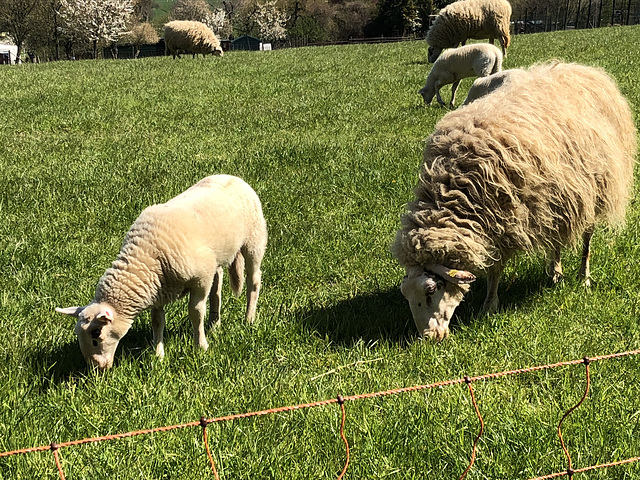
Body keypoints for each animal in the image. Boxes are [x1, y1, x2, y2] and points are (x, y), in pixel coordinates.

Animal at [53, 174, 266, 370]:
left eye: (96, 336)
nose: (97, 368)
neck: (145, 257)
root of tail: (231, 176)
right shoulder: (157, 290)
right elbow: (157, 321)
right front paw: (158, 355)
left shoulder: (200, 279)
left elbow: (196, 313)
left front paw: (201, 347)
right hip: (217, 258)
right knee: (218, 286)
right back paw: (214, 324)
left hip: (254, 240)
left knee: (253, 281)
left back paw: (249, 319)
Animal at [392, 62, 636, 342]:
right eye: (406, 294)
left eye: (432, 290)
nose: (428, 338)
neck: (453, 185)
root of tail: (578, 68)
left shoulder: (504, 218)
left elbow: (495, 269)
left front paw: (489, 305)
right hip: (556, 199)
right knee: (556, 238)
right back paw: (555, 272)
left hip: (593, 190)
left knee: (587, 237)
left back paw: (583, 276)